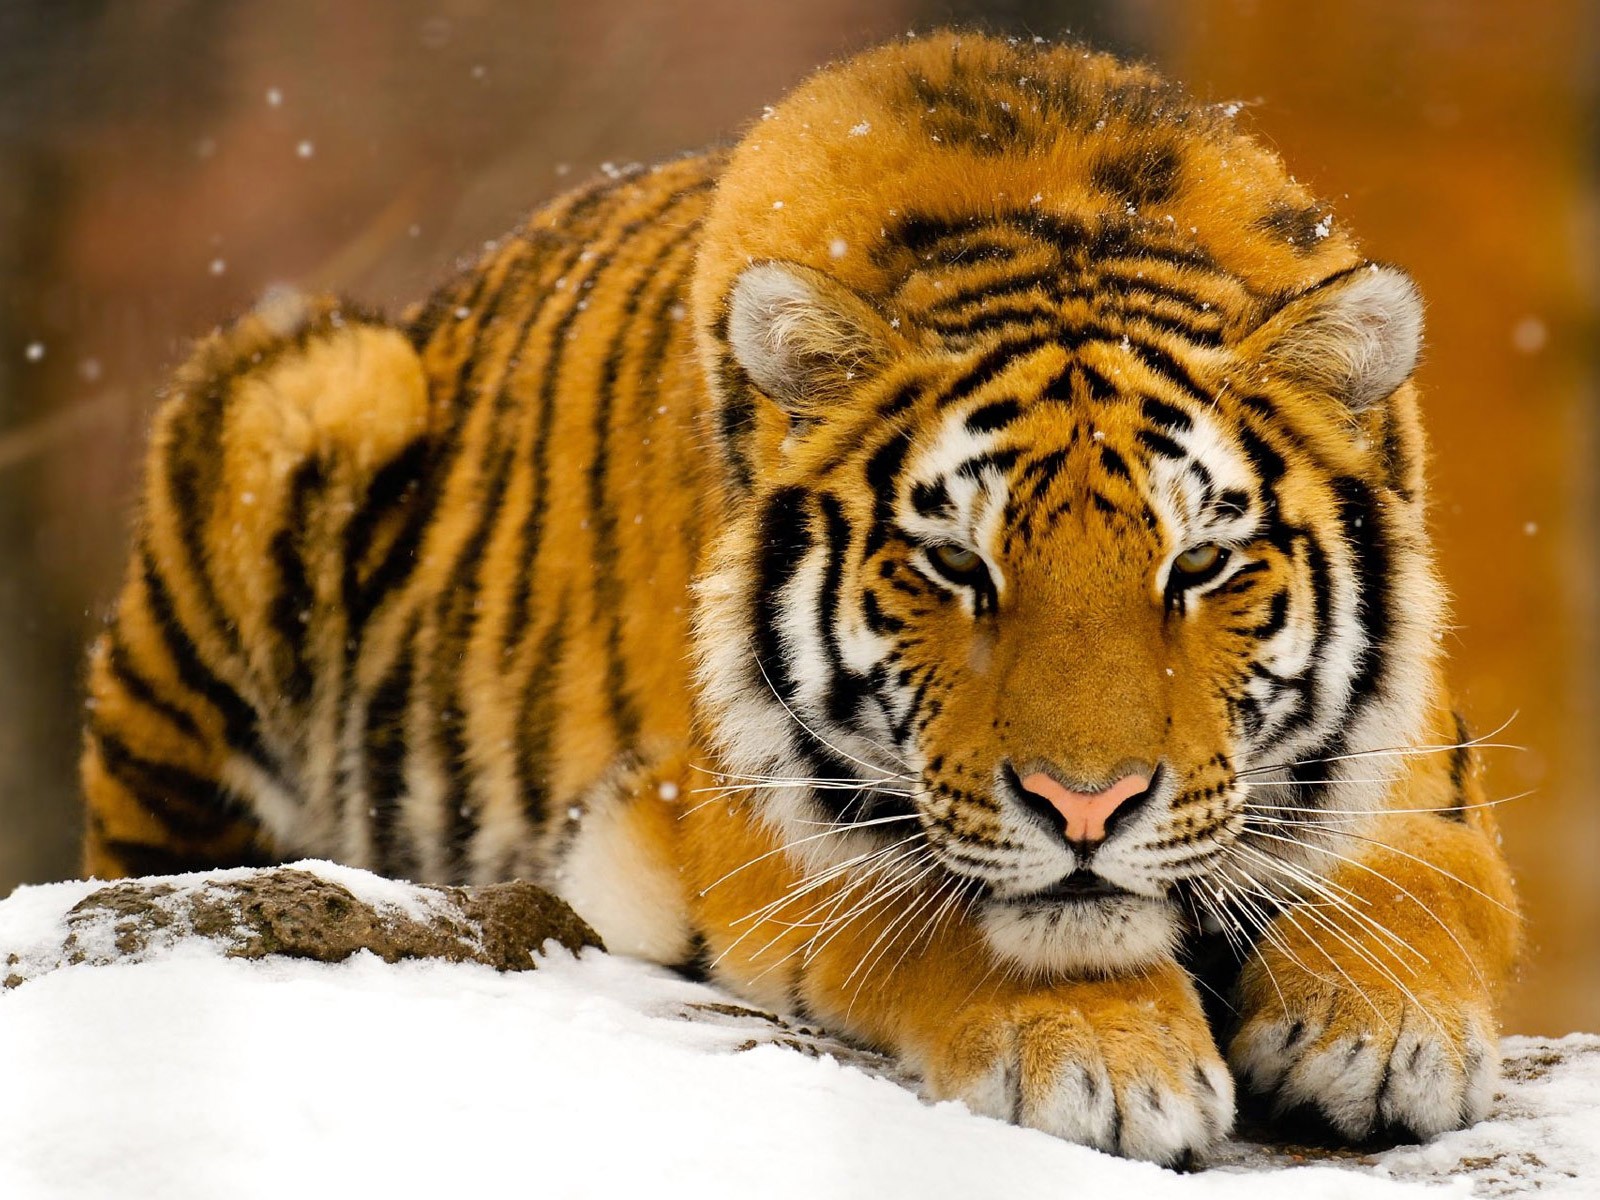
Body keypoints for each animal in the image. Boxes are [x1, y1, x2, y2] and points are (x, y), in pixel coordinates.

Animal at [80, 32, 1521, 1164]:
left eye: (1200, 565)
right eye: (956, 566)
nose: (1086, 808)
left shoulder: (1417, 771)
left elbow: (1422, 887)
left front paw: (1384, 1034)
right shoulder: (749, 818)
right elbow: (951, 911)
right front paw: (1105, 1058)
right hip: (304, 398)